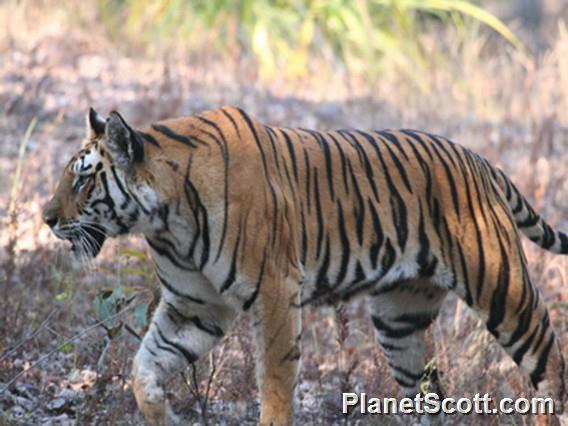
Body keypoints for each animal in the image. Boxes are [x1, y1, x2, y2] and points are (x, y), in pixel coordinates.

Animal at [44, 105, 568, 422]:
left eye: (82, 181)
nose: (46, 217)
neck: (164, 219)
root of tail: (479, 160)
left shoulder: (275, 290)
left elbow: (275, 380)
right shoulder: (195, 306)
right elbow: (144, 367)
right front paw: (163, 414)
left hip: (502, 290)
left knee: (549, 365)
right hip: (400, 321)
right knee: (432, 393)